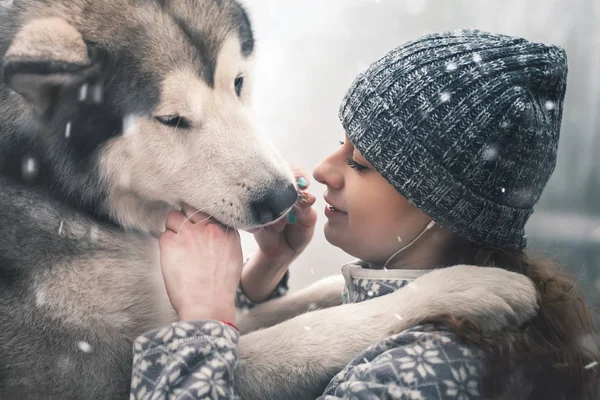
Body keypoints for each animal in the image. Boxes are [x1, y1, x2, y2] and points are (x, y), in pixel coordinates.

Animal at [0, 0, 540, 400]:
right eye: (172, 120)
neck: (58, 194)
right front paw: (466, 286)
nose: (282, 198)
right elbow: (324, 329)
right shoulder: (103, 373)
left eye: (237, 83)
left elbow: (304, 304)